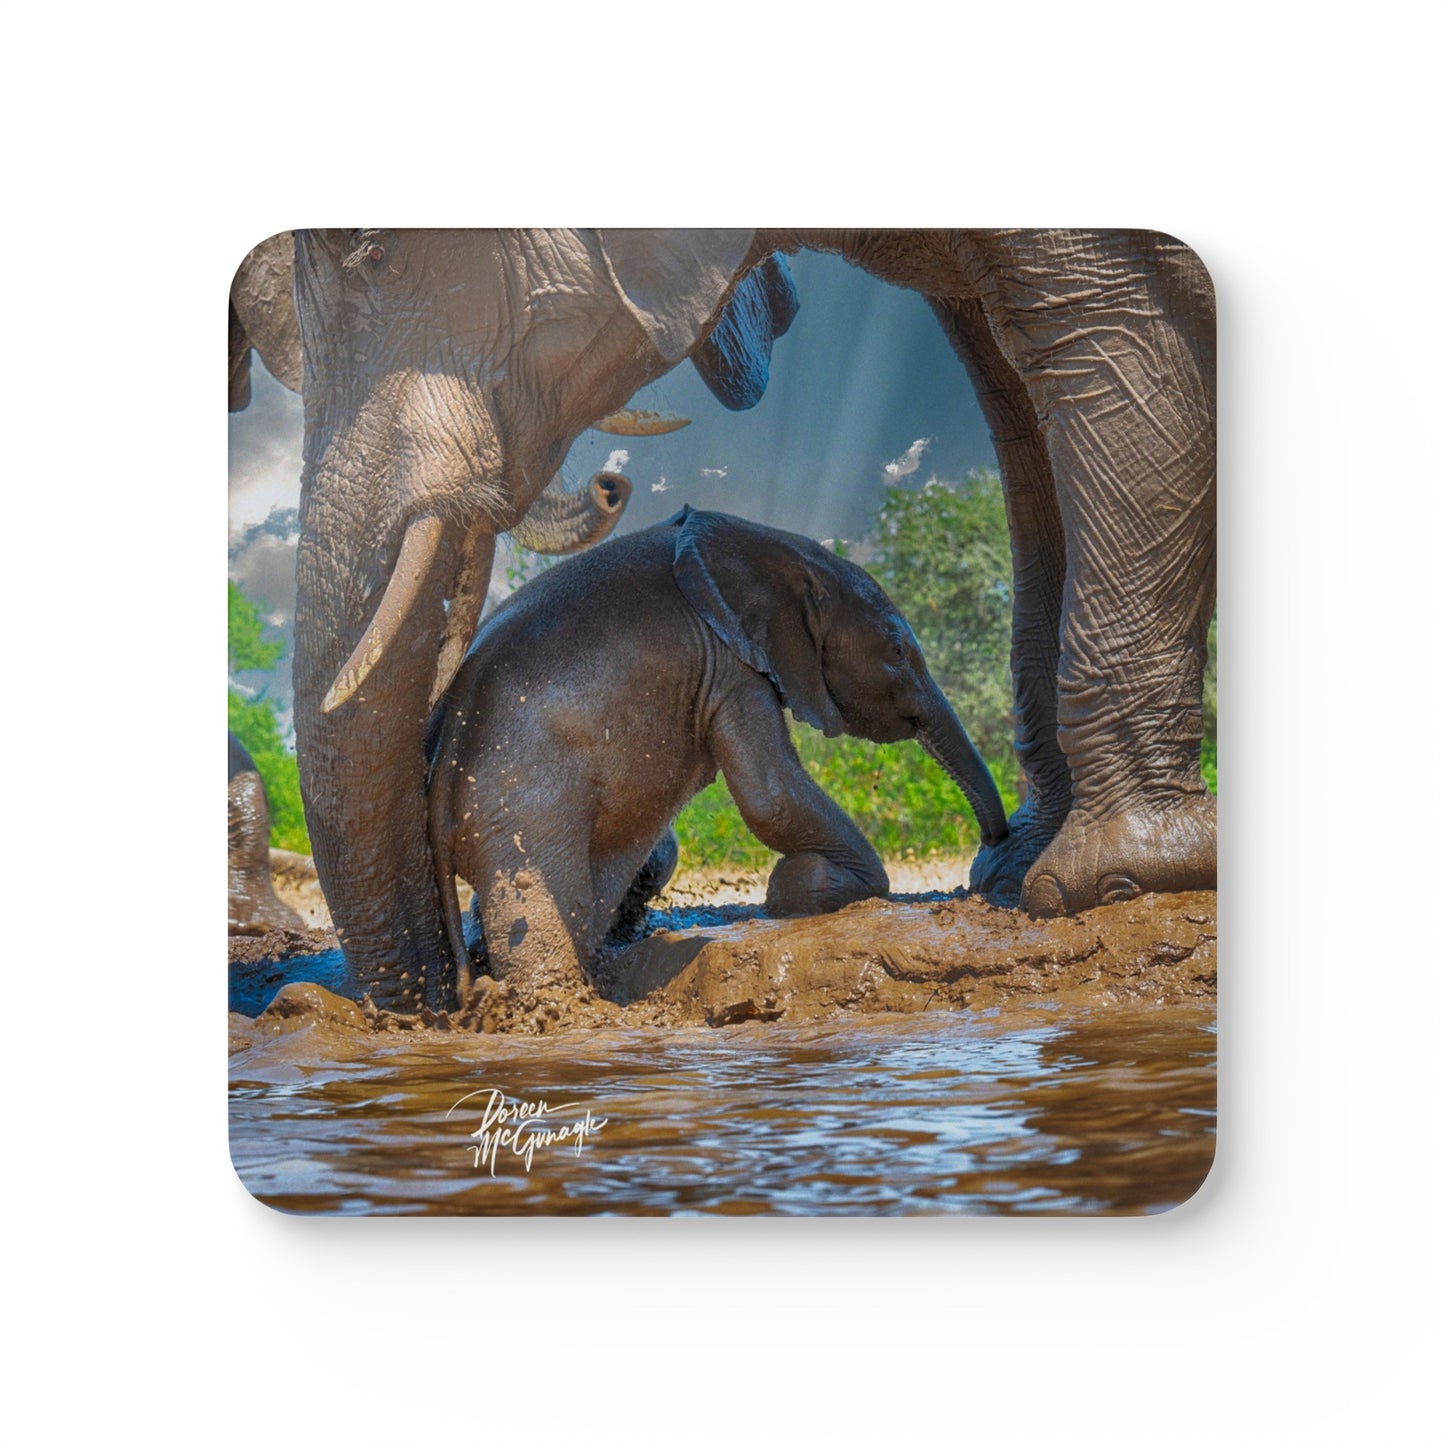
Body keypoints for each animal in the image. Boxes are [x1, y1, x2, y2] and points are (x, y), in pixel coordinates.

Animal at [426, 507, 1009, 995]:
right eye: (897, 650)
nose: (993, 845)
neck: (771, 548)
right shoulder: (731, 665)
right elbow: (771, 795)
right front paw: (819, 887)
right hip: (522, 812)